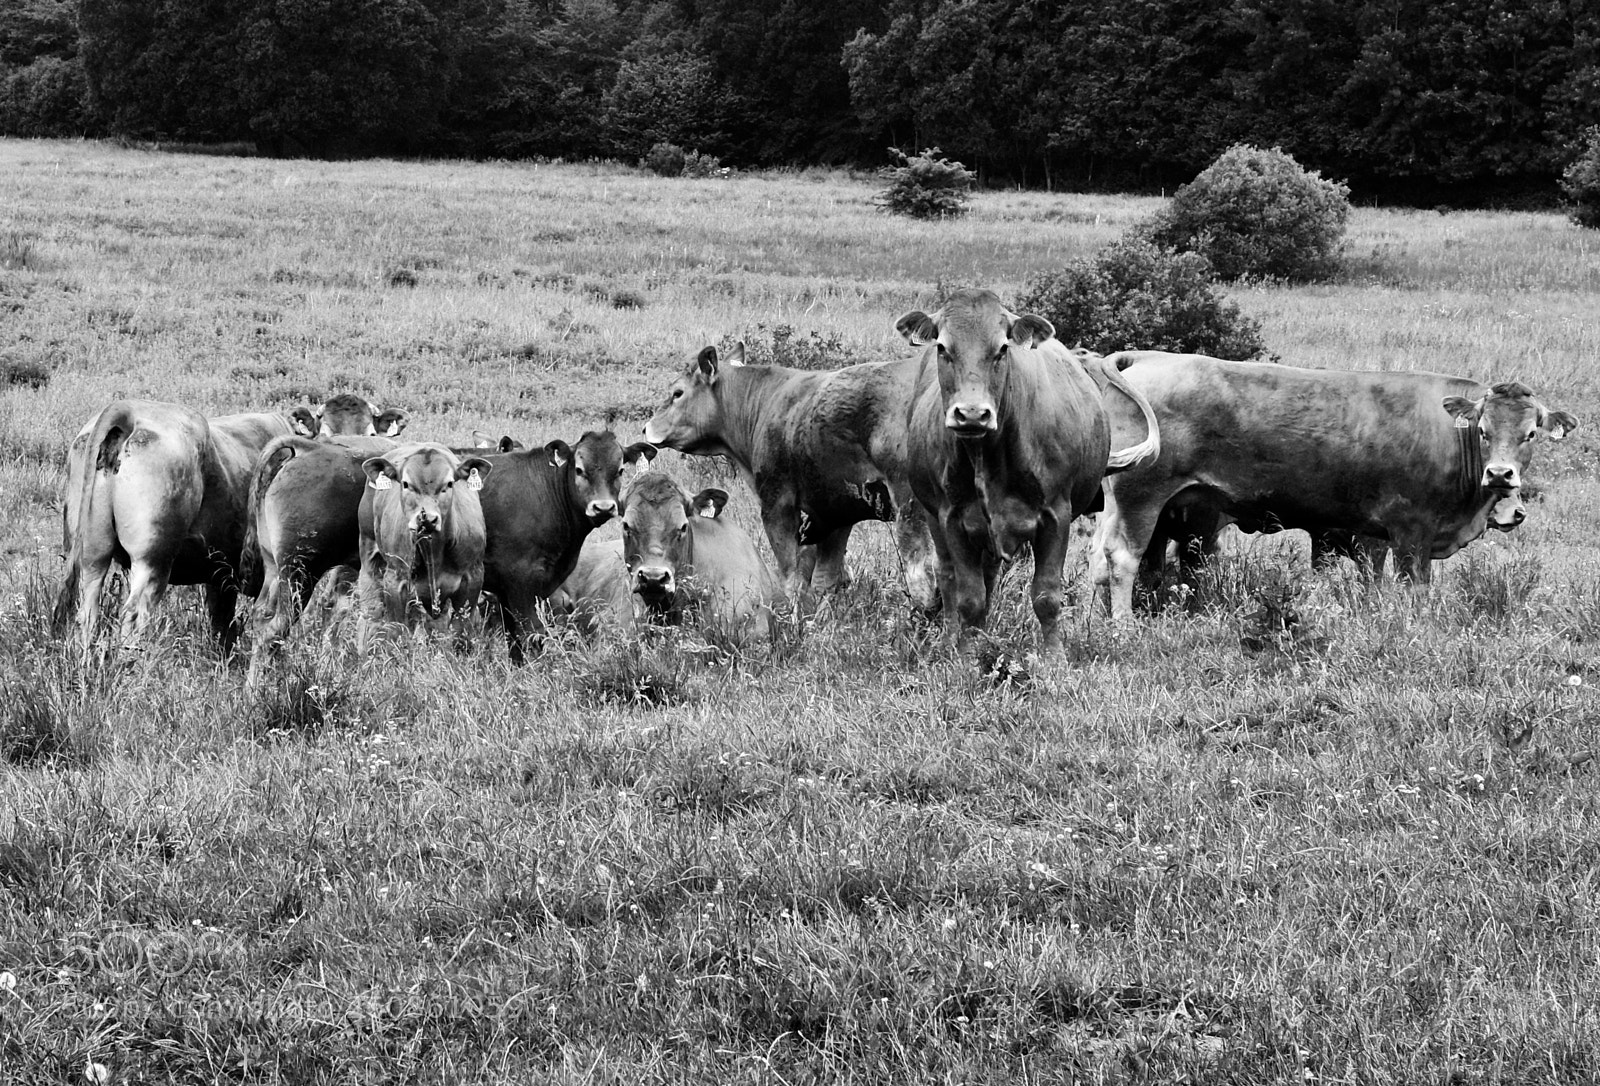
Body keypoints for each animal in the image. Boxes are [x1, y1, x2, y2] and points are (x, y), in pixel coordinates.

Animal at [55, 395, 382, 652]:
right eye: (326, 431)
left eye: (371, 431)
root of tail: (130, 410)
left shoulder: (220, 575)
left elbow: (221, 629)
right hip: (152, 559)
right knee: (135, 616)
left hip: (93, 554)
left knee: (87, 612)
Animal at [356, 443, 493, 650]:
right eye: (405, 484)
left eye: (449, 484)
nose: (427, 518)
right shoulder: (395, 580)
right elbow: (397, 630)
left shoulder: (473, 577)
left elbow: (460, 633)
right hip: (369, 557)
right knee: (371, 614)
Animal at [642, 343, 937, 612]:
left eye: (677, 393)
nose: (646, 428)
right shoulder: (835, 513)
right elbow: (824, 580)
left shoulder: (777, 504)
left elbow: (791, 577)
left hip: (909, 504)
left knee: (923, 573)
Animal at [898, 289, 1161, 653]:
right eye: (942, 347)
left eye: (1002, 348)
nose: (972, 414)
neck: (989, 457)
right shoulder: (953, 519)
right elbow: (968, 598)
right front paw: (966, 657)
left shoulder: (1056, 517)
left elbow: (1046, 597)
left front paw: (1054, 659)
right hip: (934, 515)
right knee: (948, 575)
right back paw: (952, 639)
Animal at [1088, 352, 1577, 620]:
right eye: (1482, 430)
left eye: (1531, 433)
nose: (1500, 474)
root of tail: (1148, 359)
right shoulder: (1410, 533)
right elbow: (1413, 590)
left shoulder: (1372, 537)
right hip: (1141, 498)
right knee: (1122, 560)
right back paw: (1124, 627)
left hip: (1137, 508)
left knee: (1112, 561)